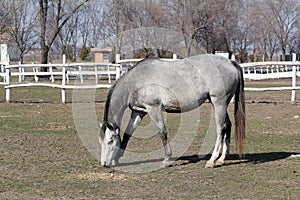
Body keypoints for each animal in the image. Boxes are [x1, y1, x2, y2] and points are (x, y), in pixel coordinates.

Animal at [99, 54, 245, 168]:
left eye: (110, 140)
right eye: (101, 141)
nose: (104, 164)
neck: (136, 81)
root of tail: (230, 63)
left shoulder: (154, 108)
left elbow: (162, 132)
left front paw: (167, 159)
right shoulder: (139, 111)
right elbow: (128, 133)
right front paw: (117, 157)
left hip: (219, 103)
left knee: (220, 129)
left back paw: (212, 160)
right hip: (220, 104)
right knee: (227, 126)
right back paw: (221, 159)